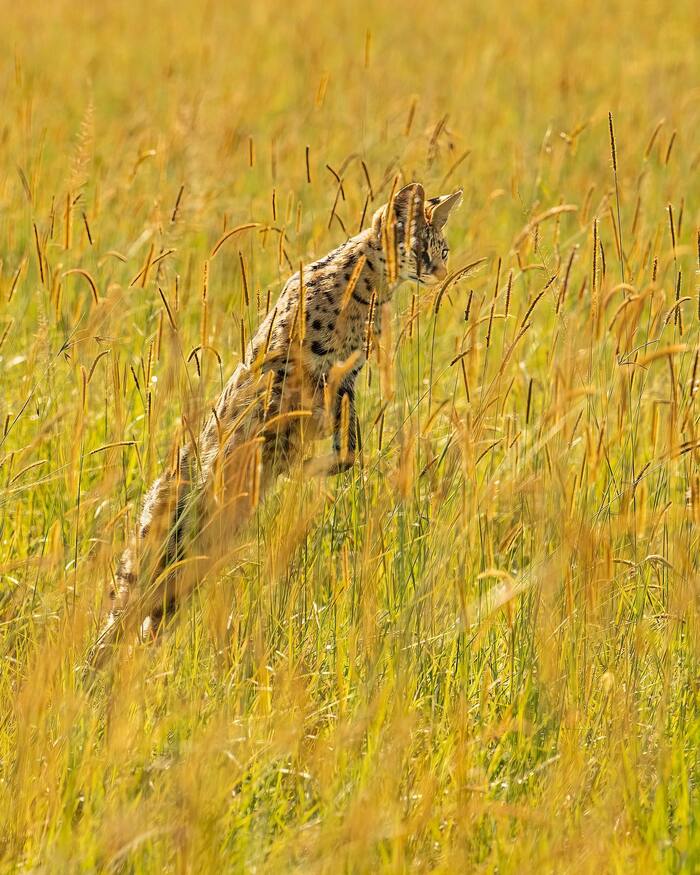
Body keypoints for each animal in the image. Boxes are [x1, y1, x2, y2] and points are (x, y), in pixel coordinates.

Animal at [91, 185, 464, 664]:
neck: (367, 291)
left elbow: (350, 445)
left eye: (443, 250)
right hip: (156, 553)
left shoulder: (345, 383)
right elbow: (277, 408)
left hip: (187, 575)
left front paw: (307, 464)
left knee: (146, 626)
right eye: (421, 249)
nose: (442, 272)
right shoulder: (286, 366)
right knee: (115, 623)